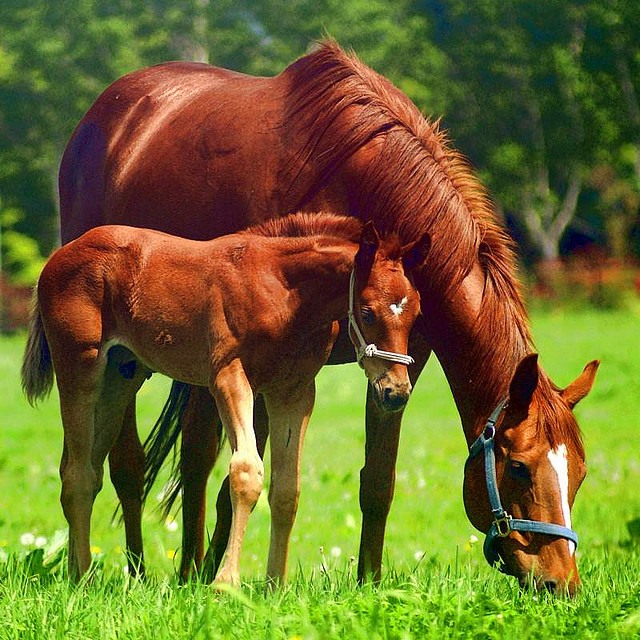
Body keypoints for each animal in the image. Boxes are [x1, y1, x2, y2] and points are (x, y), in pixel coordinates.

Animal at [22, 212, 428, 584]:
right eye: (367, 312)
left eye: (416, 313)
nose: (395, 391)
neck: (283, 291)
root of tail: (57, 257)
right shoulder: (228, 376)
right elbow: (246, 471)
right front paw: (224, 583)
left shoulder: (294, 390)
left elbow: (287, 488)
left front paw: (274, 585)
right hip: (80, 367)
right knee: (76, 474)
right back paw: (81, 578)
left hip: (120, 377)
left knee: (86, 469)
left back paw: (75, 569)